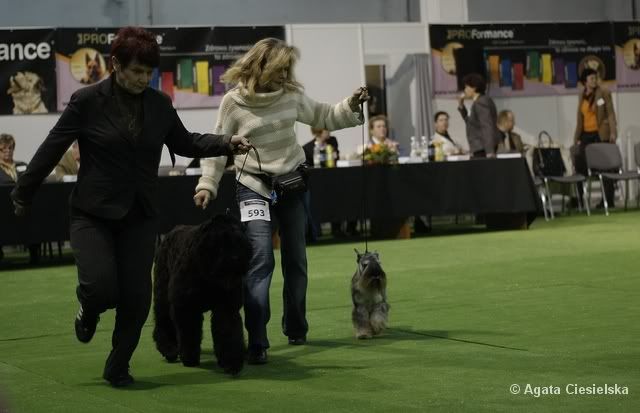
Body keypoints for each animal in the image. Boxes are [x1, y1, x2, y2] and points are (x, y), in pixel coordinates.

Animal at [152, 214, 251, 376]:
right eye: (221, 241)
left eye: (240, 239)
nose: (236, 257)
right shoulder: (186, 307)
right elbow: (189, 332)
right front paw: (189, 358)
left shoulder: (226, 307)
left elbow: (228, 332)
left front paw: (231, 363)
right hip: (162, 295)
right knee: (163, 320)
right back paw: (169, 349)